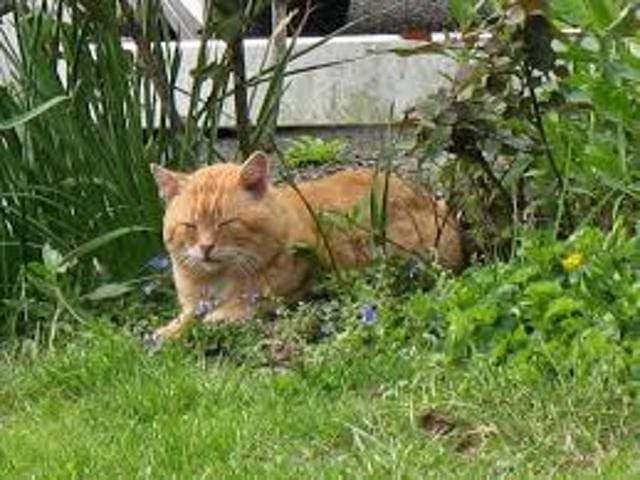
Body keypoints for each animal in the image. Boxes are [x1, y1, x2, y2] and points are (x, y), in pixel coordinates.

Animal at [150, 151, 464, 341]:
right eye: (190, 226)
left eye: (226, 223)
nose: (205, 248)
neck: (218, 279)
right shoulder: (193, 303)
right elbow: (186, 317)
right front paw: (168, 331)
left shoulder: (289, 286)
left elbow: (244, 303)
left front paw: (217, 318)